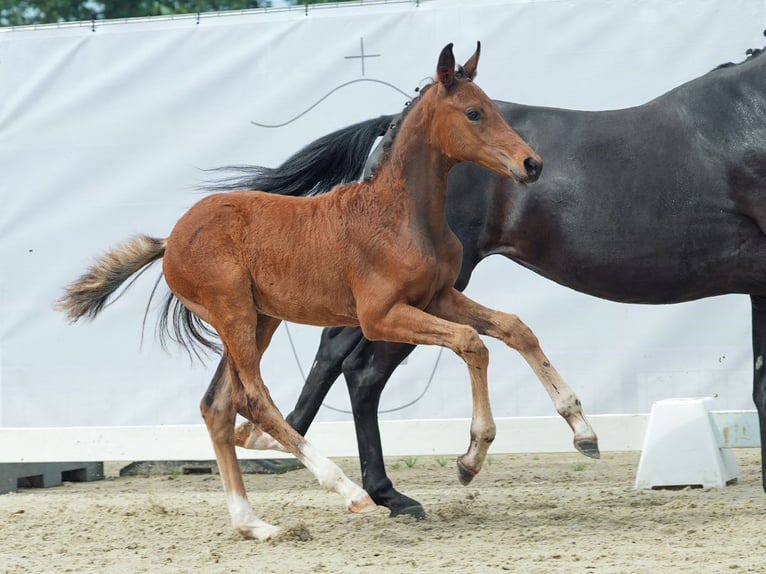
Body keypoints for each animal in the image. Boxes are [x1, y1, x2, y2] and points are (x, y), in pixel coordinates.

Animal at [213, 41, 766, 516]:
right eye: (474, 113)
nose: (532, 164)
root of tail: (390, 124)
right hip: (416, 296)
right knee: (360, 369)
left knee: (342, 356)